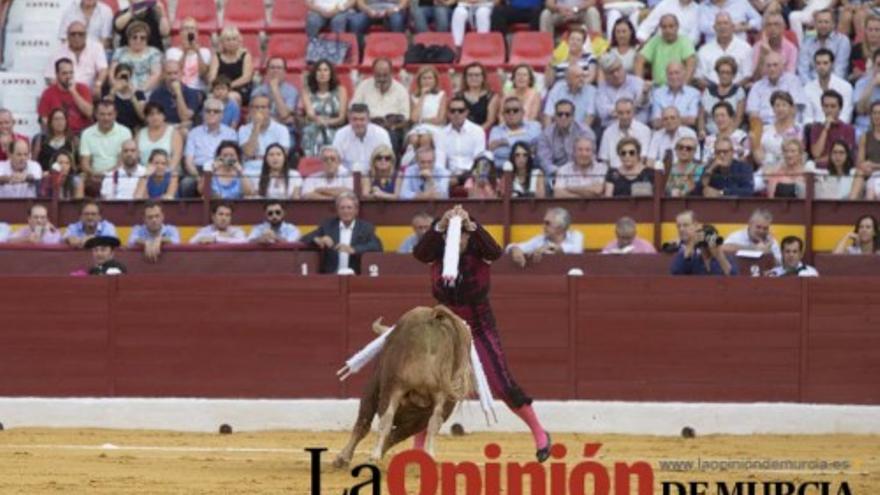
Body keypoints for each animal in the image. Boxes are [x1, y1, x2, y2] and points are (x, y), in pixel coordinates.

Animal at [334, 302, 474, 468]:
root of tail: (433, 318)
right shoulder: (419, 419)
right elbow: (396, 436)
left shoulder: (373, 389)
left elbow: (364, 423)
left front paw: (343, 458)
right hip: (442, 396)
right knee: (434, 422)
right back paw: (430, 454)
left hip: (394, 386)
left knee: (385, 419)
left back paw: (374, 455)